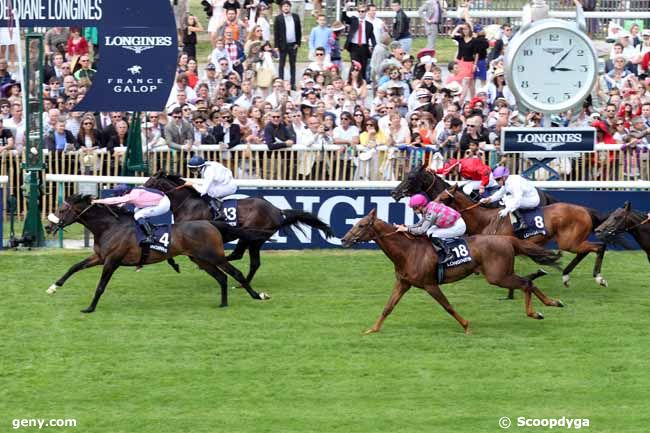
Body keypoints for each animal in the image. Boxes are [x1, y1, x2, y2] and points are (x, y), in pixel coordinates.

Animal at [45, 194, 268, 312]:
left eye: (62, 210)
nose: (48, 227)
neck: (109, 227)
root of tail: (211, 223)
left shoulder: (112, 261)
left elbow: (100, 286)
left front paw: (90, 308)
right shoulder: (100, 257)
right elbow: (74, 267)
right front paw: (53, 287)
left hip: (213, 256)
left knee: (235, 273)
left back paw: (257, 295)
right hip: (200, 259)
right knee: (222, 277)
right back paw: (223, 303)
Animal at [143, 170, 334, 286]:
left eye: (150, 181)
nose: (140, 190)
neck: (187, 204)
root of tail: (277, 211)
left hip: (250, 235)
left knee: (242, 256)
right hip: (254, 239)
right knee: (251, 261)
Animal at [340, 209, 560, 334]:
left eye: (361, 225)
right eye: (355, 223)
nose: (343, 239)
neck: (408, 251)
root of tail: (507, 239)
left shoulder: (430, 285)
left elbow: (447, 306)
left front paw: (466, 326)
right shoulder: (403, 283)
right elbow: (388, 307)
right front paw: (373, 329)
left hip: (497, 276)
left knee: (526, 283)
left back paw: (536, 312)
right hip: (502, 274)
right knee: (529, 282)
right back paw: (551, 303)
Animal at [430, 184, 608, 292]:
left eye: (443, 198)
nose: (429, 206)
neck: (486, 219)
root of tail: (585, 210)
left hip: (569, 241)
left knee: (599, 246)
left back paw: (599, 278)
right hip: (572, 241)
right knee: (585, 251)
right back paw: (566, 276)